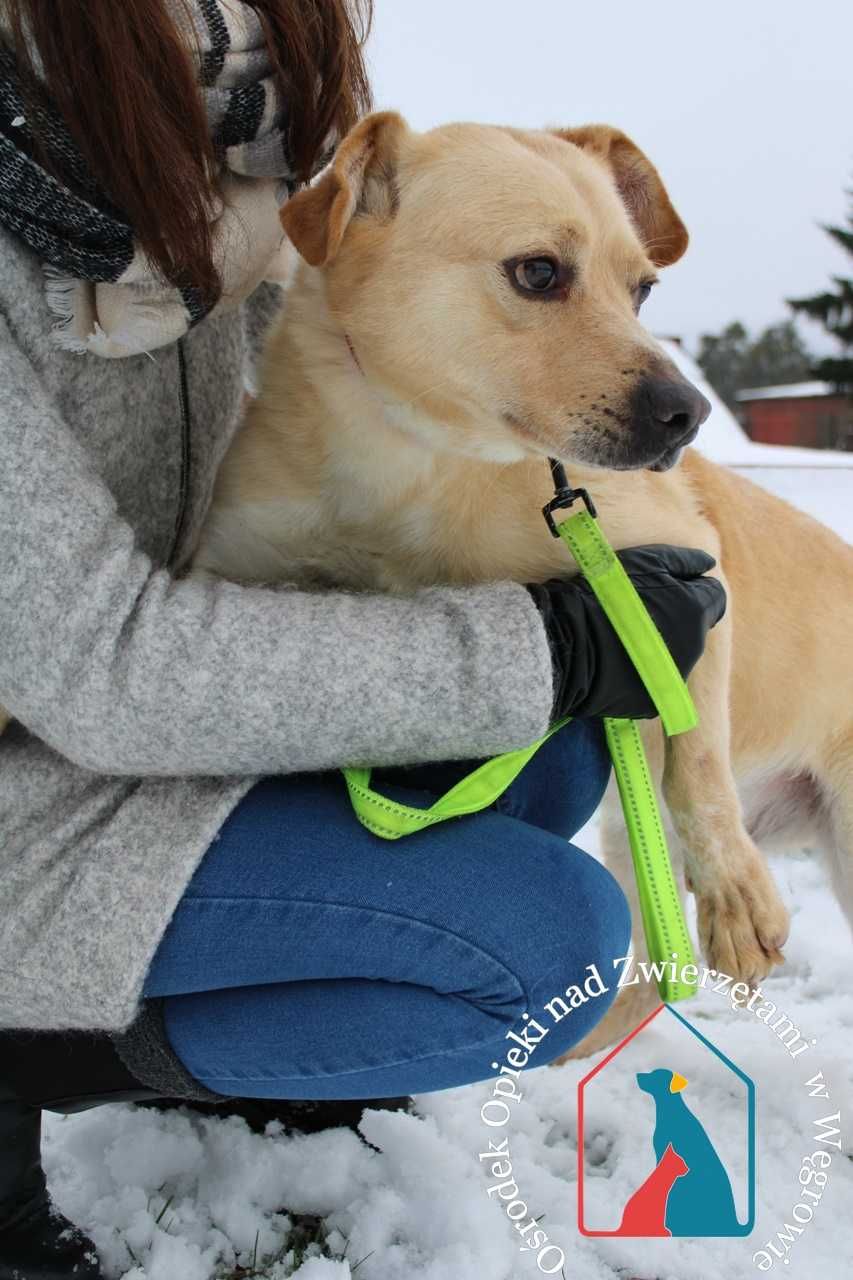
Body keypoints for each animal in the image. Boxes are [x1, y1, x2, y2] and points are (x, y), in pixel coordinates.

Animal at [190, 112, 850, 1049]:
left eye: (642, 290)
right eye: (538, 272)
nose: (688, 414)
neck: (418, 466)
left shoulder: (688, 573)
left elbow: (698, 759)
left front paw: (734, 889)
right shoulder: (230, 562)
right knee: (649, 962)